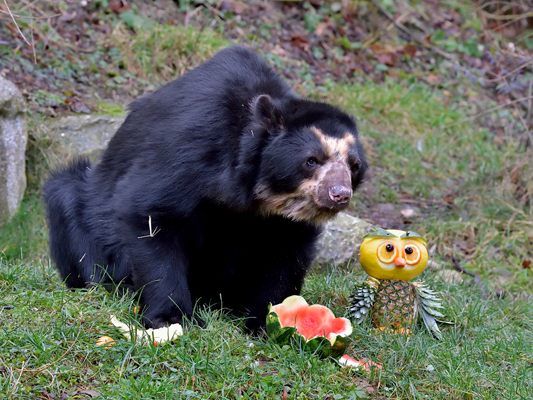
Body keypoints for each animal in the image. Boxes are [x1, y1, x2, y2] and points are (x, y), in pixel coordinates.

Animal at [42, 46, 366, 332]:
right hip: (80, 209)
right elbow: (150, 211)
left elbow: (286, 254)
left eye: (354, 166)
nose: (339, 194)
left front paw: (268, 322)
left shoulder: (284, 220)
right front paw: (170, 318)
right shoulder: (192, 145)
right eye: (311, 160)